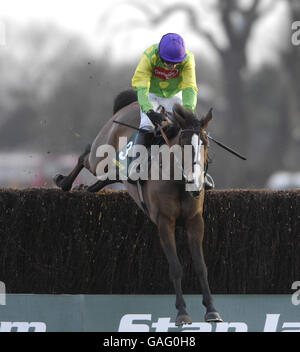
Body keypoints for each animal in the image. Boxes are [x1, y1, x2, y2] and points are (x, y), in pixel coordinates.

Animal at [54, 90, 223, 324]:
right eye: (182, 142)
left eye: (205, 143)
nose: (194, 182)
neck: (177, 182)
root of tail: (131, 103)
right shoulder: (164, 222)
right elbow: (176, 268)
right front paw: (182, 312)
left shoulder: (195, 221)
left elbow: (200, 266)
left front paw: (212, 310)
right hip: (100, 158)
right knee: (85, 155)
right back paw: (64, 182)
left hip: (115, 171)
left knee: (104, 178)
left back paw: (84, 187)